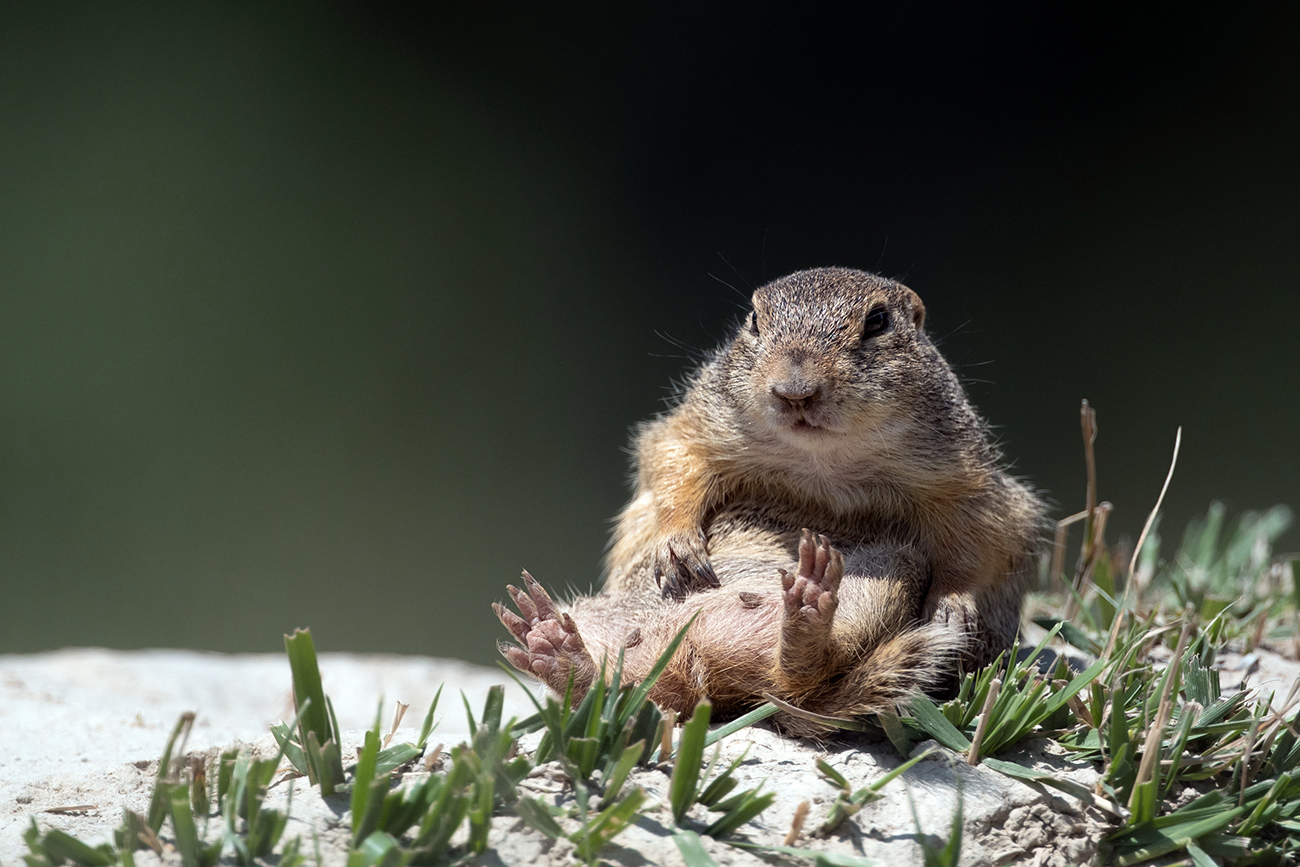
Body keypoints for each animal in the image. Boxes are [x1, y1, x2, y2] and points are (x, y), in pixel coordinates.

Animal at [491, 267, 1040, 738]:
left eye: (878, 322)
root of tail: (718, 679)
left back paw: (809, 605)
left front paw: (953, 604)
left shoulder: (966, 481)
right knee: (637, 691)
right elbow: (673, 466)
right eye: (753, 320)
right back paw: (556, 647)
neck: (822, 462)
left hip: (883, 588)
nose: (795, 391)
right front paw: (677, 545)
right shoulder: (698, 428)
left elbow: (979, 543)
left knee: (806, 673)